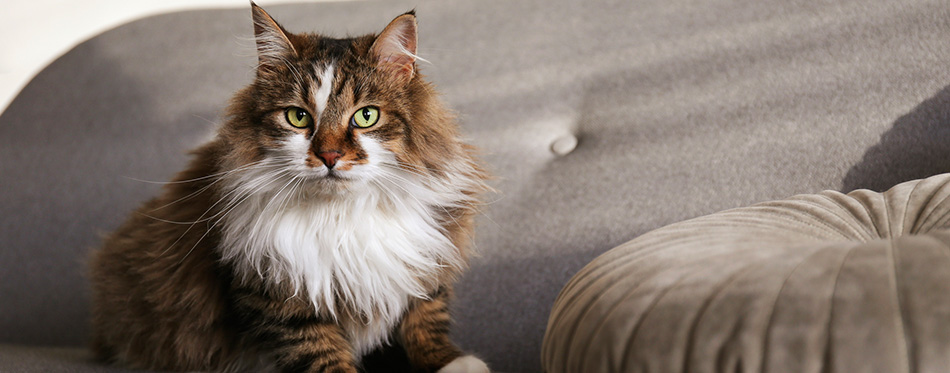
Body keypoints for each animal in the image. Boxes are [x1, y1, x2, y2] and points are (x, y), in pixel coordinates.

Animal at [89, 3, 490, 372]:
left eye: (366, 116)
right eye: (298, 117)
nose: (329, 156)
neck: (341, 217)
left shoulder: (428, 255)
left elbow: (425, 317)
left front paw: (451, 362)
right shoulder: (277, 296)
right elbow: (322, 353)